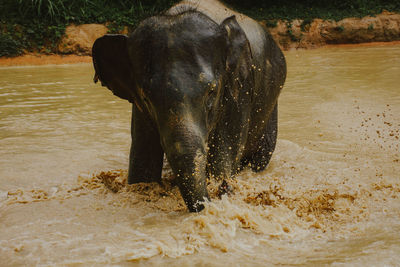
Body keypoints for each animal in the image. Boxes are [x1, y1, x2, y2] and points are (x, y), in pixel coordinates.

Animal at [92, 0, 286, 214]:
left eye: (211, 92)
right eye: (146, 98)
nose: (224, 188)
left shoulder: (239, 88)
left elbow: (224, 151)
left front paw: (221, 183)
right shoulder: (139, 106)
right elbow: (142, 159)